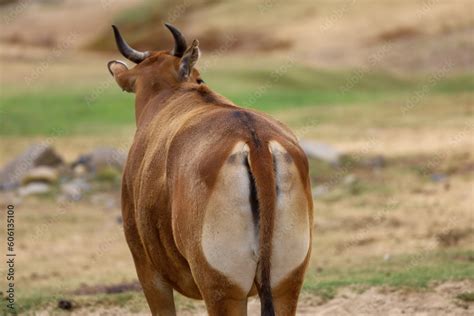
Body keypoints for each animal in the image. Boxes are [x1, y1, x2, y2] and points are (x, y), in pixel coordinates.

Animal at [108, 23, 314, 314]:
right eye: (199, 77)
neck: (170, 99)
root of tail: (255, 141)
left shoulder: (149, 273)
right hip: (285, 285)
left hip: (222, 293)